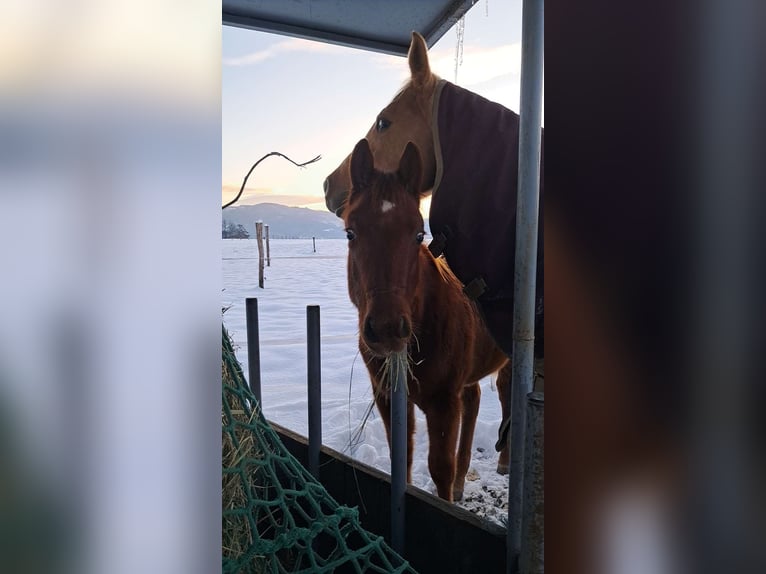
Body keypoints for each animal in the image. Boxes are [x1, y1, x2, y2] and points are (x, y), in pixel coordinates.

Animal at [343, 137, 511, 502]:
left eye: (419, 234)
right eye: (350, 233)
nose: (388, 328)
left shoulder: (443, 403)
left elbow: (440, 469)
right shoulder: (389, 397)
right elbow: (401, 458)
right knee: (475, 400)